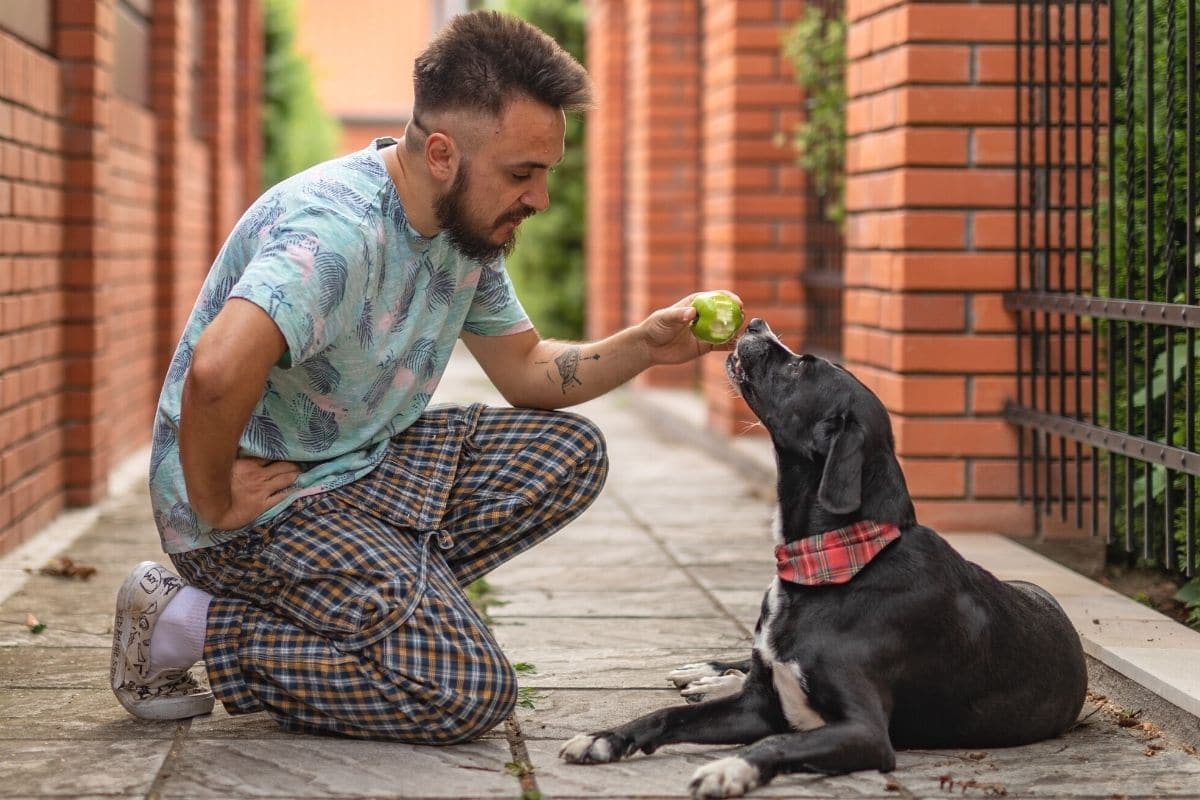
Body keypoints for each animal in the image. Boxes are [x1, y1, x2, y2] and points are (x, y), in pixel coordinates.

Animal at [561, 319, 1089, 800]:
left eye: (801, 366)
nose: (755, 323)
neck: (835, 558)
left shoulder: (864, 731)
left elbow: (775, 743)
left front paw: (731, 768)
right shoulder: (757, 707)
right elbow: (668, 715)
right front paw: (603, 739)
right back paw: (706, 674)